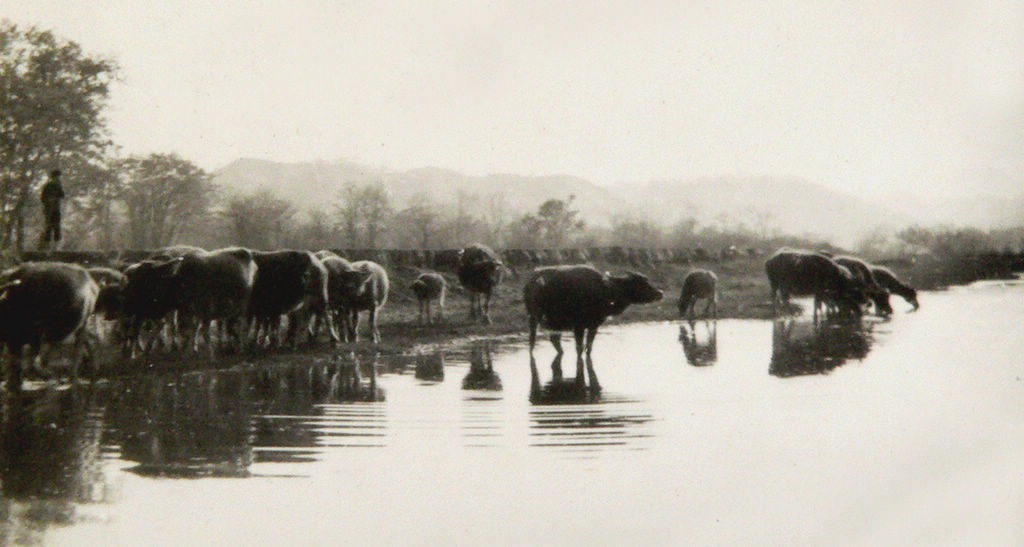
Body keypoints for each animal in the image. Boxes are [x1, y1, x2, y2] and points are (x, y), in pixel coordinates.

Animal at [520, 266, 663, 360]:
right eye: (642, 284)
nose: (660, 293)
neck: (607, 291)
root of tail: (529, 284)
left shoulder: (594, 325)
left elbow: (589, 347)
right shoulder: (578, 326)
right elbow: (580, 348)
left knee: (554, 340)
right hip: (533, 318)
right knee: (533, 340)